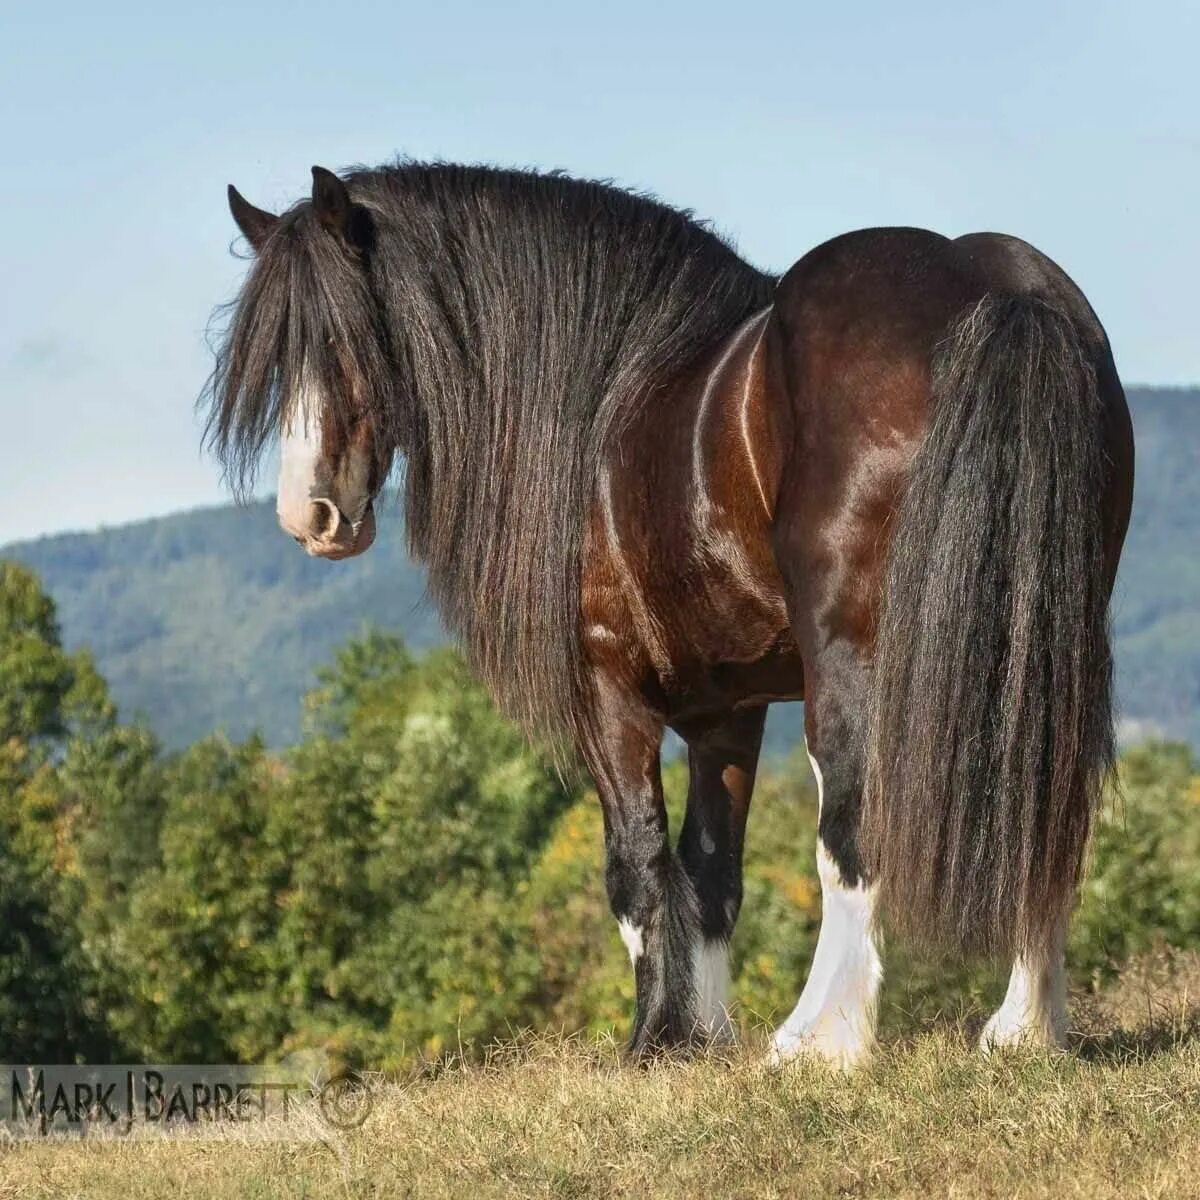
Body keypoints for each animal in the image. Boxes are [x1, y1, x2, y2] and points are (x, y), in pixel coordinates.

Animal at [208, 162, 1132, 1070]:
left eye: (344, 336)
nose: (310, 517)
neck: (602, 403)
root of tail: (994, 290)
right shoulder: (730, 708)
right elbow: (712, 869)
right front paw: (703, 1035)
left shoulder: (609, 690)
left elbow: (638, 861)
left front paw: (652, 1039)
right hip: (1046, 638)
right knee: (1044, 800)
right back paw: (1024, 1030)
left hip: (856, 657)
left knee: (852, 820)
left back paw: (820, 1039)